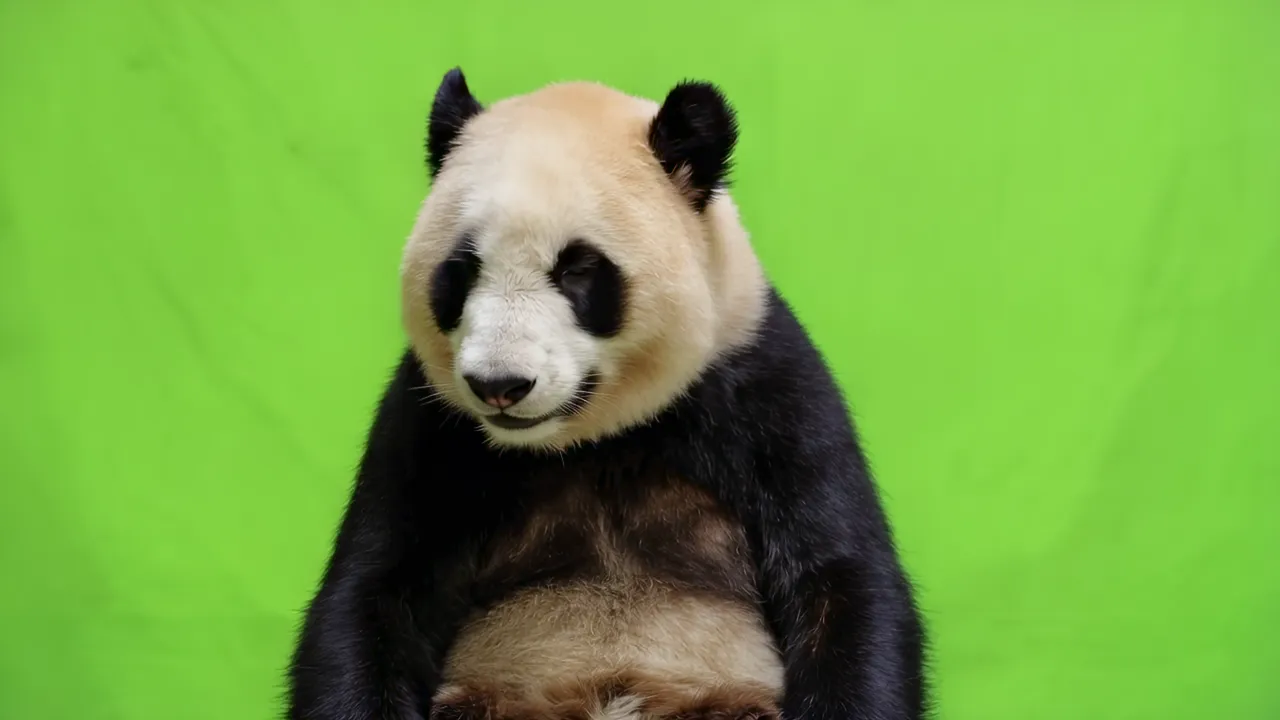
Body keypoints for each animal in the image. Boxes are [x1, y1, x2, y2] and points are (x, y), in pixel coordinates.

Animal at [287, 68, 927, 720]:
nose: (499, 386)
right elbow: (376, 587)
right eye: (462, 270)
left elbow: (838, 577)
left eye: (578, 270)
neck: (595, 437)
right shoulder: (430, 423)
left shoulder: (765, 391)